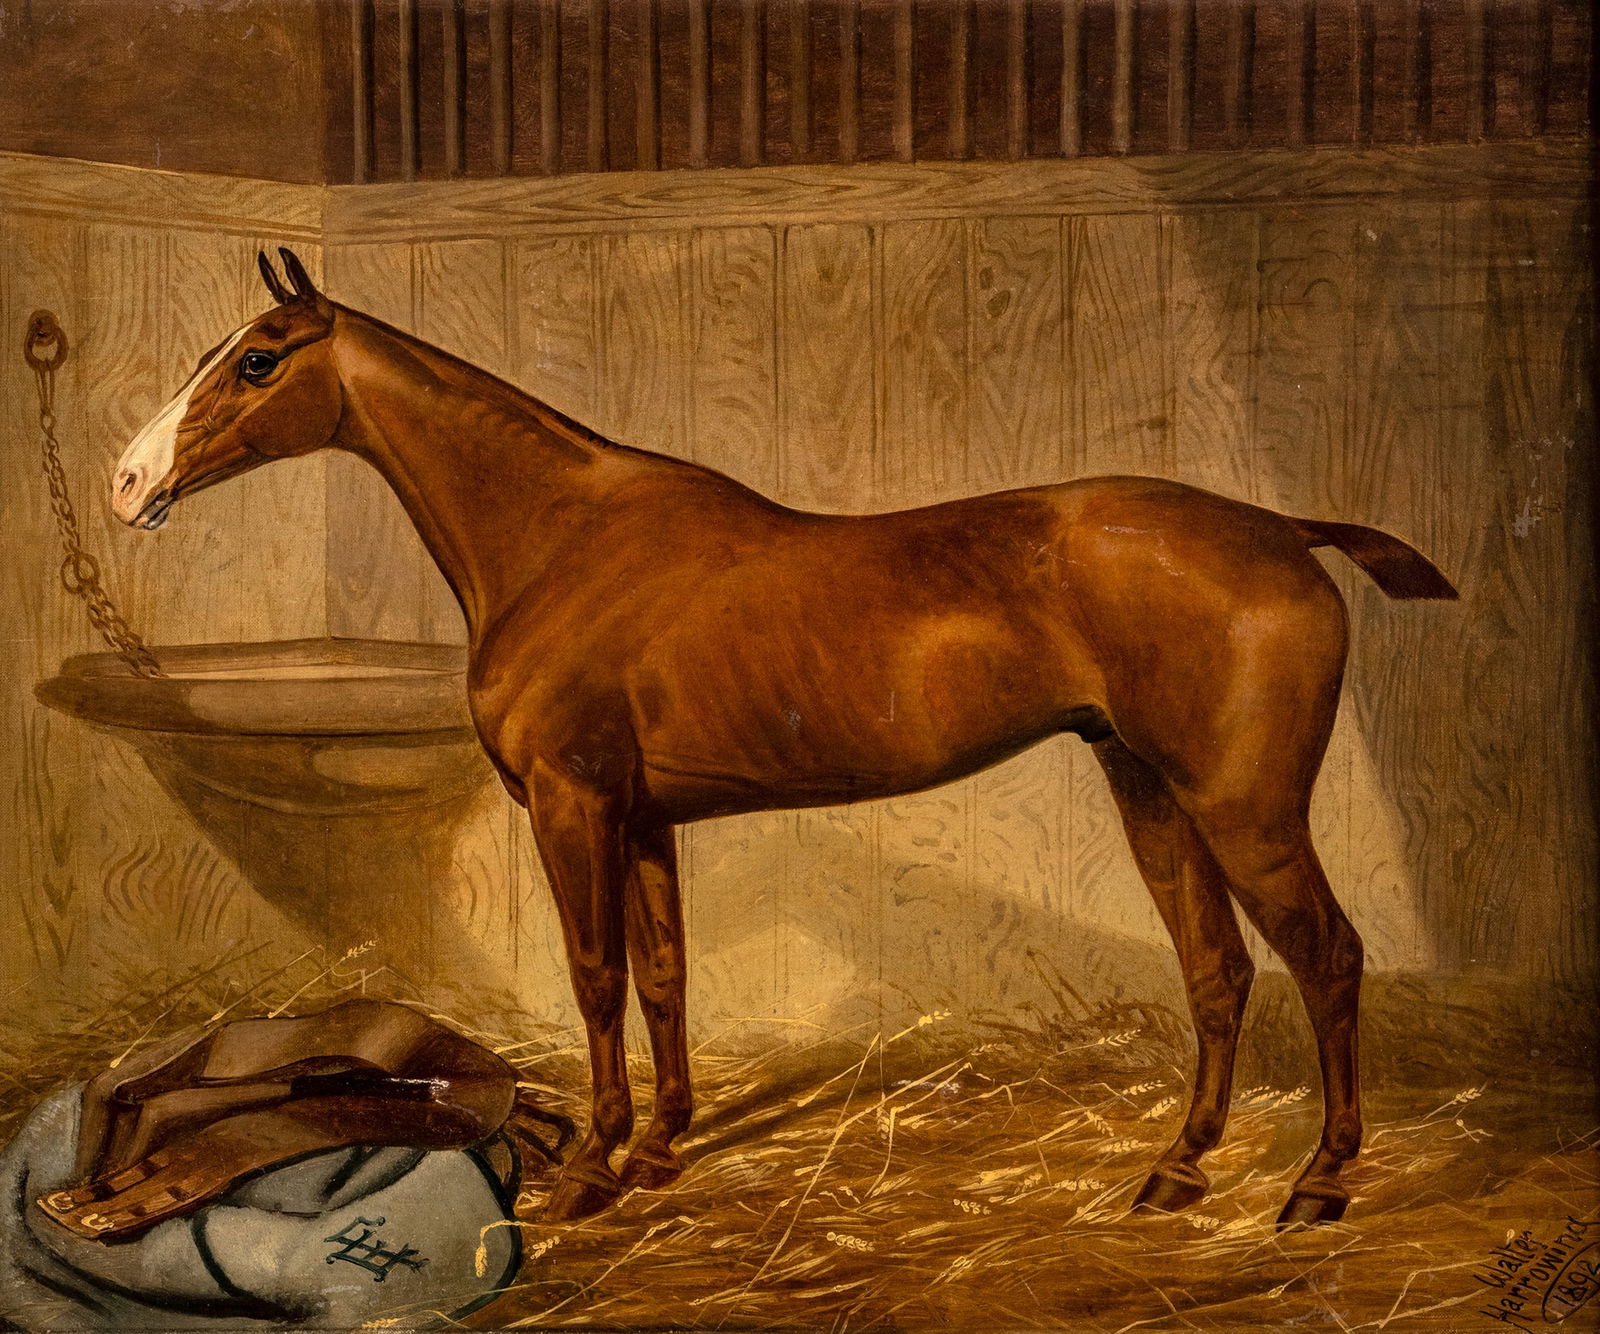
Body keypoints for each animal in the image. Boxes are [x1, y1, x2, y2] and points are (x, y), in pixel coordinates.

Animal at [111, 248, 1456, 1230]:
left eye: (258, 361)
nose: (126, 483)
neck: (557, 536)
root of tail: (1279, 529)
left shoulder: (573, 804)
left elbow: (595, 976)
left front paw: (593, 1167)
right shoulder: (642, 817)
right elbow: (663, 976)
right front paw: (662, 1145)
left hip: (1244, 809)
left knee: (1327, 958)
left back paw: (1320, 1181)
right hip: (1154, 792)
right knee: (1216, 971)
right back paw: (1177, 1170)